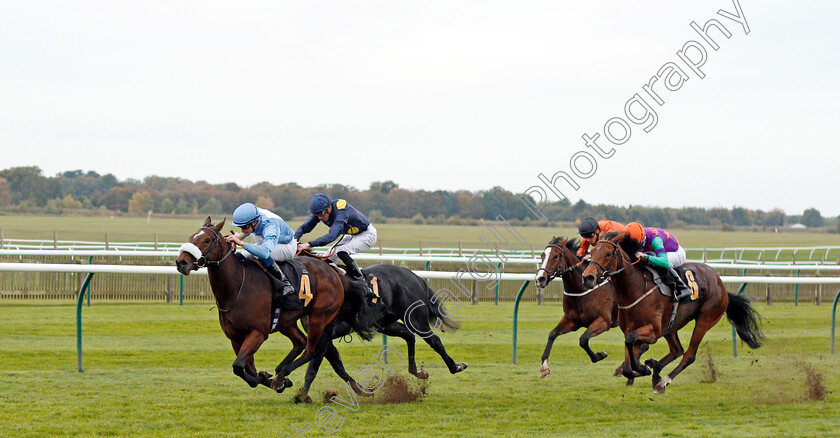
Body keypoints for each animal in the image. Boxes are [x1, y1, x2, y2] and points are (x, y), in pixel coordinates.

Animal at [175, 218, 374, 394]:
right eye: (192, 237)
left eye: (207, 240)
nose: (181, 262)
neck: (237, 287)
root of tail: (334, 273)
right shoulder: (235, 337)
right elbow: (247, 369)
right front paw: (269, 378)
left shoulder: (258, 333)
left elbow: (238, 366)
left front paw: (274, 380)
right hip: (287, 321)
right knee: (300, 342)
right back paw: (281, 374)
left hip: (319, 317)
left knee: (312, 350)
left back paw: (282, 376)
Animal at [536, 238, 620, 378]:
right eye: (542, 255)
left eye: (555, 256)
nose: (539, 279)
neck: (582, 290)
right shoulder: (572, 321)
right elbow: (552, 334)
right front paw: (544, 367)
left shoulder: (604, 321)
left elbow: (583, 340)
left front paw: (600, 355)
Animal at [580, 233, 764, 394]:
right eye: (592, 252)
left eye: (608, 253)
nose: (588, 277)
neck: (636, 288)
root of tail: (721, 283)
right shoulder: (633, 329)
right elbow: (627, 363)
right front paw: (643, 367)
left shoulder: (653, 331)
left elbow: (631, 344)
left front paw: (643, 368)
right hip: (671, 325)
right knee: (677, 349)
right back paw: (656, 369)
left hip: (705, 319)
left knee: (688, 355)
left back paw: (663, 381)